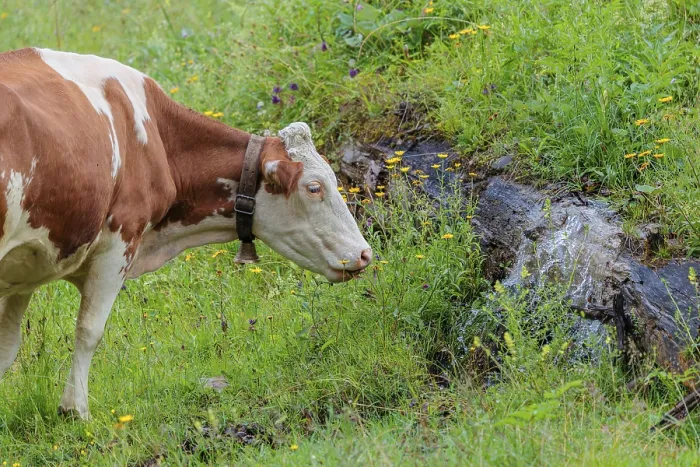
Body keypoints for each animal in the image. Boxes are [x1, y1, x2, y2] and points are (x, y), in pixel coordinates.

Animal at [0, 48, 372, 419]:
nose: (365, 253)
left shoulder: (27, 266)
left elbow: (8, 344)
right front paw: (74, 410)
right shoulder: (121, 240)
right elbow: (89, 330)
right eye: (314, 188)